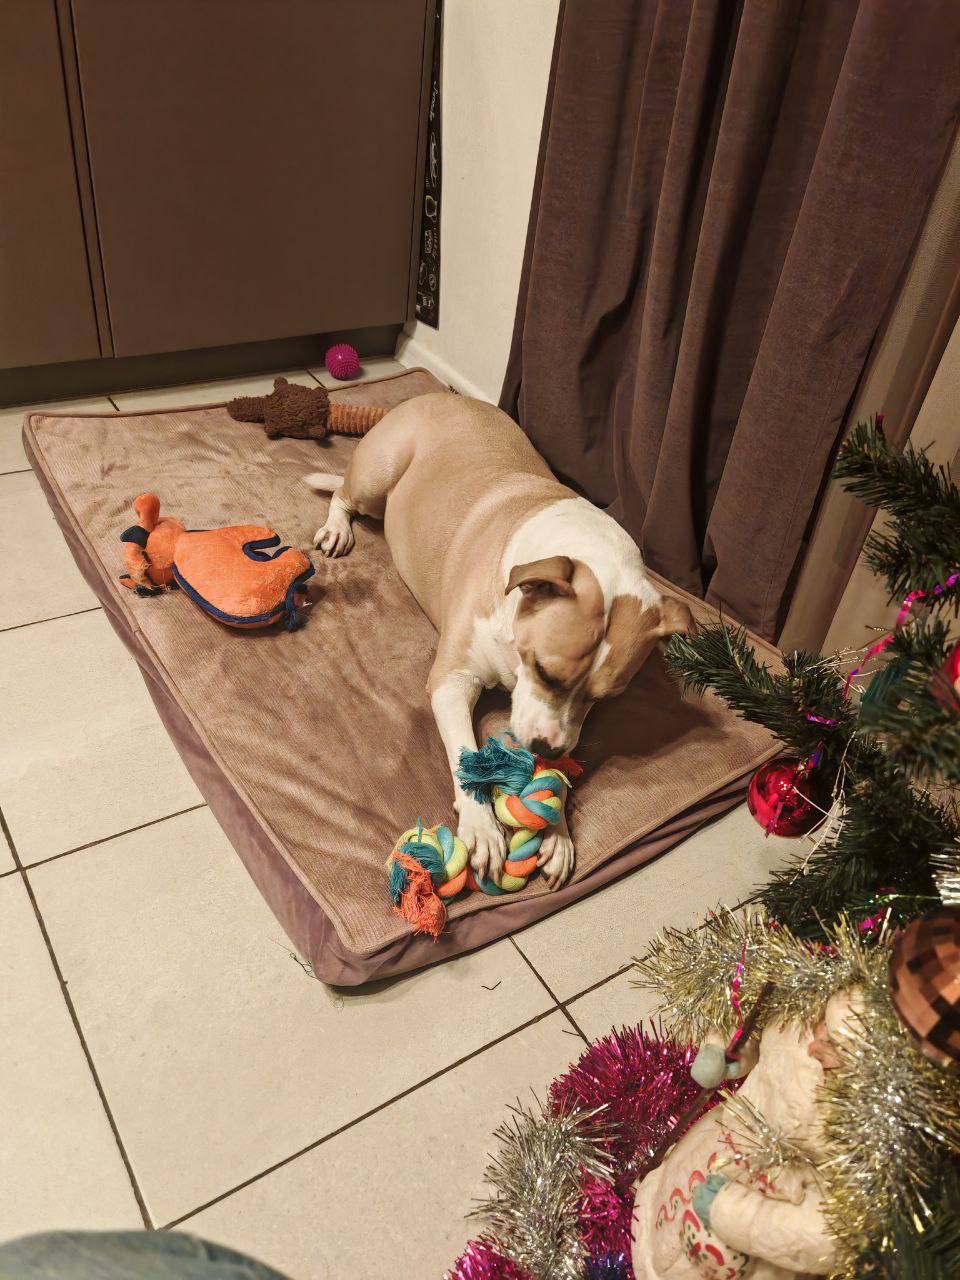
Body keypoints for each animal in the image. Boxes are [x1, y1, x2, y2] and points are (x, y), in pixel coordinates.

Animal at [305, 393, 693, 890]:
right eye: (545, 670)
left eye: (607, 697)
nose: (546, 749)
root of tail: (430, 395)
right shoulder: (452, 680)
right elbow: (465, 751)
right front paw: (481, 825)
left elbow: (559, 767)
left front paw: (557, 830)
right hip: (379, 472)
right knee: (343, 496)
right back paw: (337, 527)